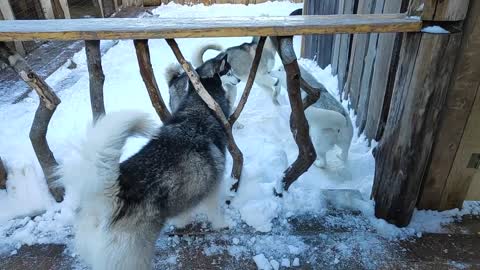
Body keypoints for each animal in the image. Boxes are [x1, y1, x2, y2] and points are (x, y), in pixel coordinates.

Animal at [59, 54, 232, 270]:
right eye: (227, 74)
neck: (196, 113)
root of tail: (109, 196)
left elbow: (183, 213)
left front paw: (182, 224)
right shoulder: (213, 189)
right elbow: (215, 212)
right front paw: (222, 225)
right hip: (136, 258)